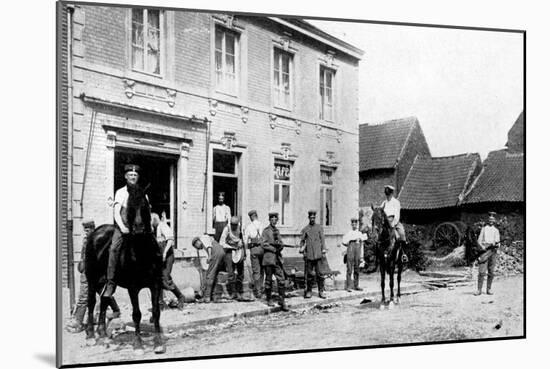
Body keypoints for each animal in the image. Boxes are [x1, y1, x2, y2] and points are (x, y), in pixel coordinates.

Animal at [82, 185, 164, 352]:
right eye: (130, 207)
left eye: (145, 206)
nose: (138, 229)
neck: (142, 251)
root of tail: (95, 232)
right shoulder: (133, 287)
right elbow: (137, 314)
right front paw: (138, 344)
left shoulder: (155, 284)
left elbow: (156, 311)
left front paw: (158, 343)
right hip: (92, 279)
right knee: (92, 302)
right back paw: (91, 335)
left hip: (105, 282)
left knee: (105, 299)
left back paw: (102, 334)